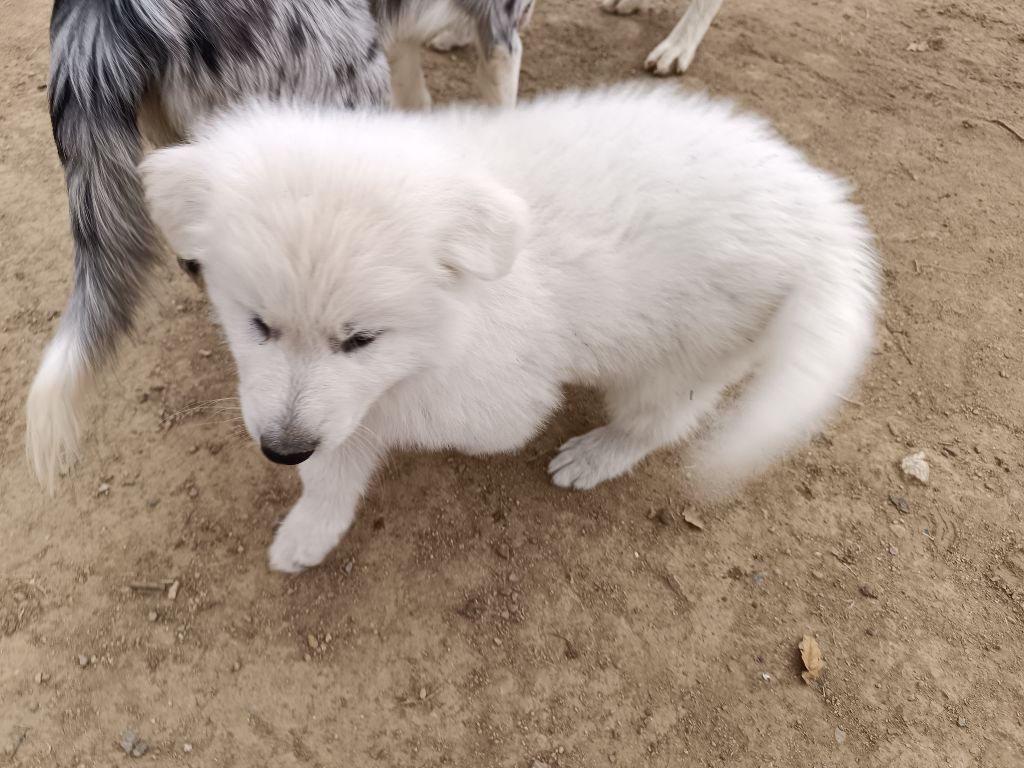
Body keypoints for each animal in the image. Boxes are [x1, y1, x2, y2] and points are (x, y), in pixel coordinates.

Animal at [140, 87, 880, 573]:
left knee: (659, 421)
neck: (458, 313)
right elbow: (333, 456)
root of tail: (820, 210)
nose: (280, 451)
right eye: (257, 324)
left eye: (361, 339)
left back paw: (597, 453)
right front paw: (309, 529)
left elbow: (373, 422)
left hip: (678, 357)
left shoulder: (493, 404)